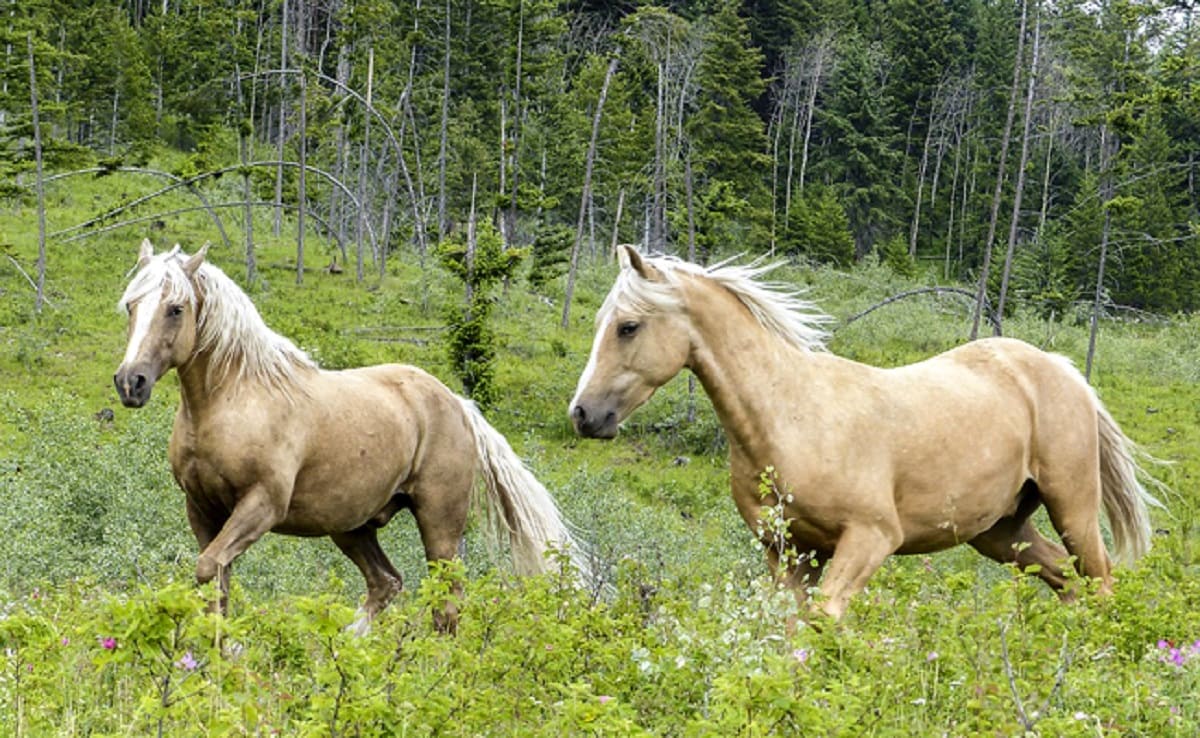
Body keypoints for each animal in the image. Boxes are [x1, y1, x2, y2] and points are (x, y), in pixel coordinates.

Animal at [114, 239, 588, 633]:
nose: (130, 382)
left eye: (176, 308)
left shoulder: (261, 505)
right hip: (352, 525)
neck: (234, 399)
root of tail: (457, 404)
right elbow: (215, 581)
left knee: (446, 602)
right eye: (131, 306)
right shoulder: (201, 508)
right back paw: (346, 646)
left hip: (439, 525)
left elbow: (209, 568)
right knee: (386, 583)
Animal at [569, 244, 1163, 621]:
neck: (790, 420)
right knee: (1067, 581)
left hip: (1072, 505)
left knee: (1100, 581)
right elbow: (791, 631)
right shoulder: (788, 552)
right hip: (1001, 531)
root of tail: (1062, 369)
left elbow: (825, 622)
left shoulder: (871, 538)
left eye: (628, 326)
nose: (583, 414)